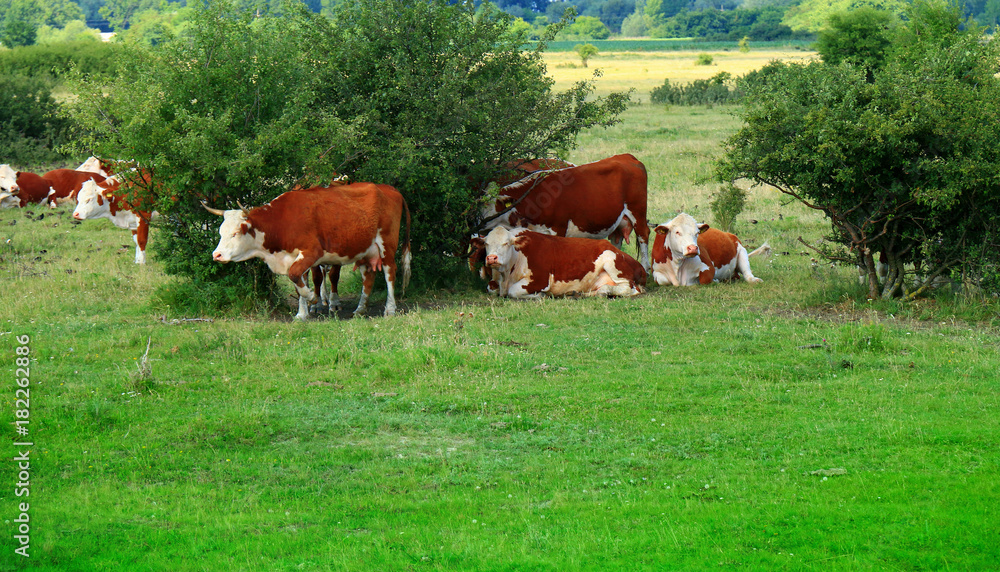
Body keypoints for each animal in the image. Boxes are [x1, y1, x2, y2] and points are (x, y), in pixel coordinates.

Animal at [205, 183, 411, 320]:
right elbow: (298, 282)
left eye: (235, 233)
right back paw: (360, 309)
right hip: (366, 250)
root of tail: (389, 188)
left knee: (390, 273)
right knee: (368, 276)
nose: (217, 255)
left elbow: (295, 276)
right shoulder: (293, 257)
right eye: (220, 232)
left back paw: (390, 309)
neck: (282, 220)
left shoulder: (313, 252)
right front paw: (302, 313)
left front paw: (313, 298)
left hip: (386, 245)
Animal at [471, 226, 646, 299]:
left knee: (629, 289)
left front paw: (540, 296)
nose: (491, 258)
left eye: (506, 243)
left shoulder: (540, 280)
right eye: (486, 244)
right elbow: (490, 288)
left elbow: (513, 291)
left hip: (612, 262)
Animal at [480, 154, 650, 272]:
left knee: (643, 235)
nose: (476, 222)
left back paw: (646, 268)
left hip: (637, 210)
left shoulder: (558, 227)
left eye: (488, 206)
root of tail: (627, 157)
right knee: (617, 239)